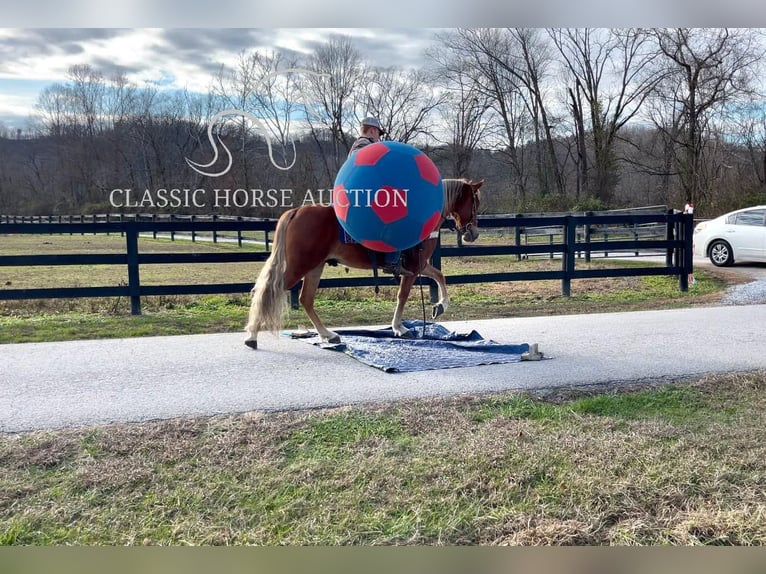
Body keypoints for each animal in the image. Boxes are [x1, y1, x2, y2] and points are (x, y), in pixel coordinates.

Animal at [246, 179, 486, 352]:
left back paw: (327, 335)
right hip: (300, 265)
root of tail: (296, 211)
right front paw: (399, 328)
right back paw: (252, 335)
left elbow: (439, 276)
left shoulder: (420, 265)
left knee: (306, 299)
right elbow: (403, 295)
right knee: (269, 291)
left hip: (315, 266)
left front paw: (440, 306)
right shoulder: (412, 268)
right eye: (475, 203)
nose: (473, 233)